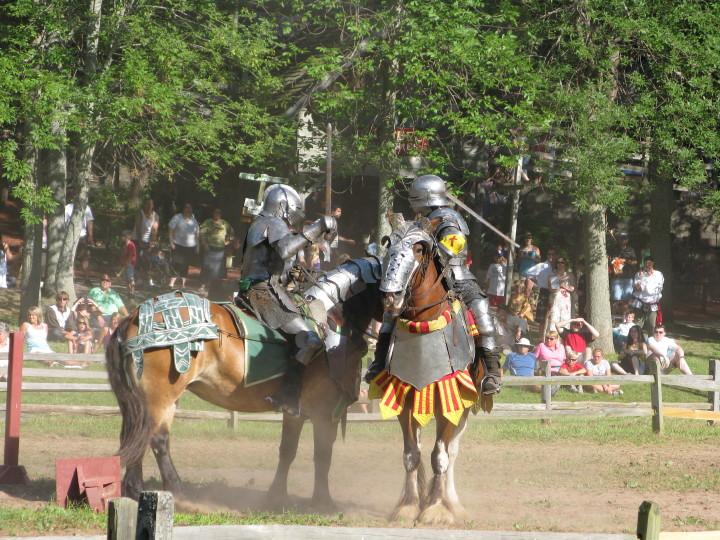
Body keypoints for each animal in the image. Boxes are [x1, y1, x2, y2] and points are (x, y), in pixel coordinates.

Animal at [105, 258, 382, 510]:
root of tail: (133, 316)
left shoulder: (295, 412)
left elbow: (288, 451)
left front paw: (276, 497)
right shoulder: (326, 414)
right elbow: (322, 456)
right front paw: (323, 502)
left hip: (150, 399)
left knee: (137, 435)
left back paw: (134, 491)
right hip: (160, 397)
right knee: (156, 440)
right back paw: (176, 493)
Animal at [366, 214, 490, 524]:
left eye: (419, 249)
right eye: (389, 246)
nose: (391, 295)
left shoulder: (453, 403)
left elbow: (440, 456)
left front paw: (436, 508)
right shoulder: (405, 401)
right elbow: (411, 454)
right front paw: (409, 506)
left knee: (452, 453)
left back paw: (452, 503)